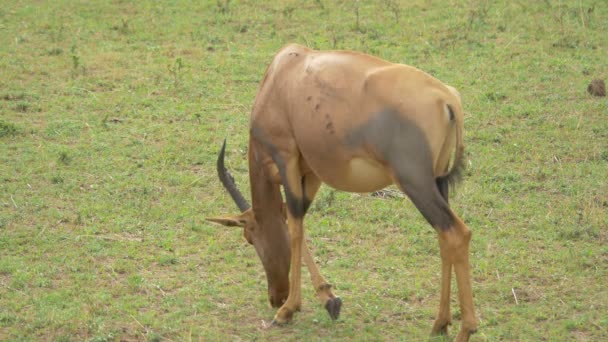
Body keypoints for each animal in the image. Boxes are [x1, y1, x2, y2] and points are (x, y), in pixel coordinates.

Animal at [209, 44, 480, 340]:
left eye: (249, 238)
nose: (275, 297)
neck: (282, 73)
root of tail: (446, 98)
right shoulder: (312, 171)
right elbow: (299, 223)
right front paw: (330, 300)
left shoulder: (286, 157)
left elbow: (294, 227)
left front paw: (288, 311)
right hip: (438, 181)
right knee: (444, 237)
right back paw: (440, 323)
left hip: (415, 182)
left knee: (456, 233)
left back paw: (466, 328)